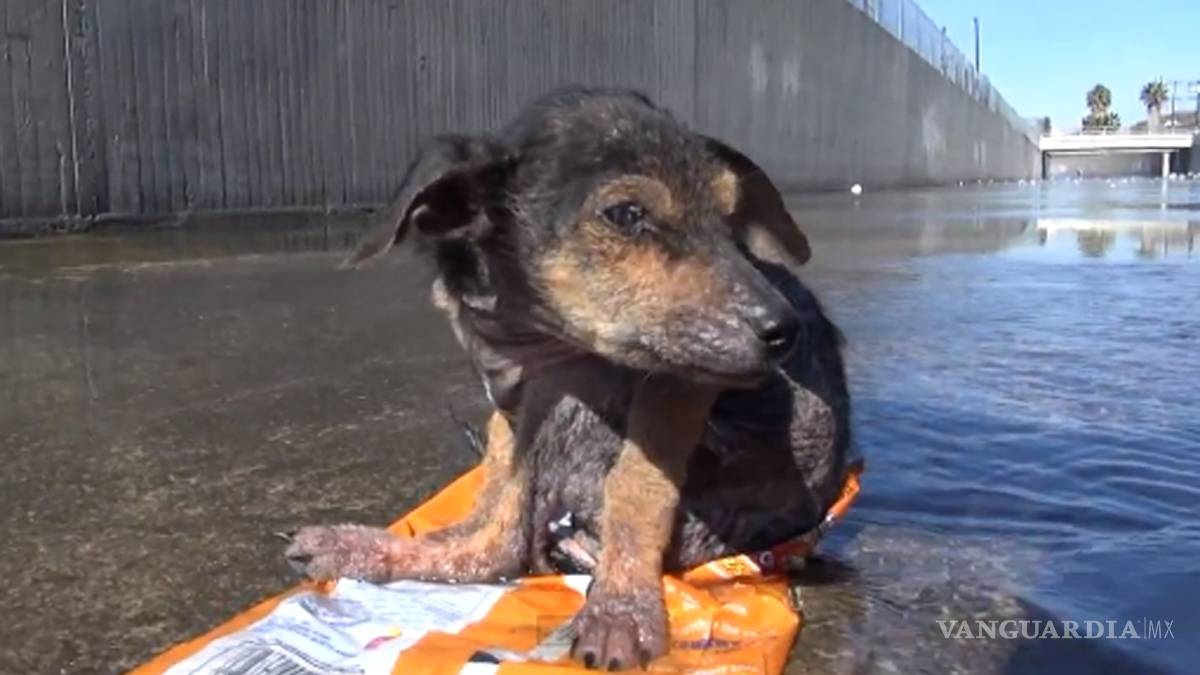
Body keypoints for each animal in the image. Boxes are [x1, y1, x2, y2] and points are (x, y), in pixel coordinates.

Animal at [284, 86, 851, 670]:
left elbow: (636, 484)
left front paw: (623, 605)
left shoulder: (679, 375)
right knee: (496, 540)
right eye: (625, 214)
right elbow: (501, 498)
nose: (784, 329)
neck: (531, 333)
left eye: (729, 215)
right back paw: (369, 547)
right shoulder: (514, 398)